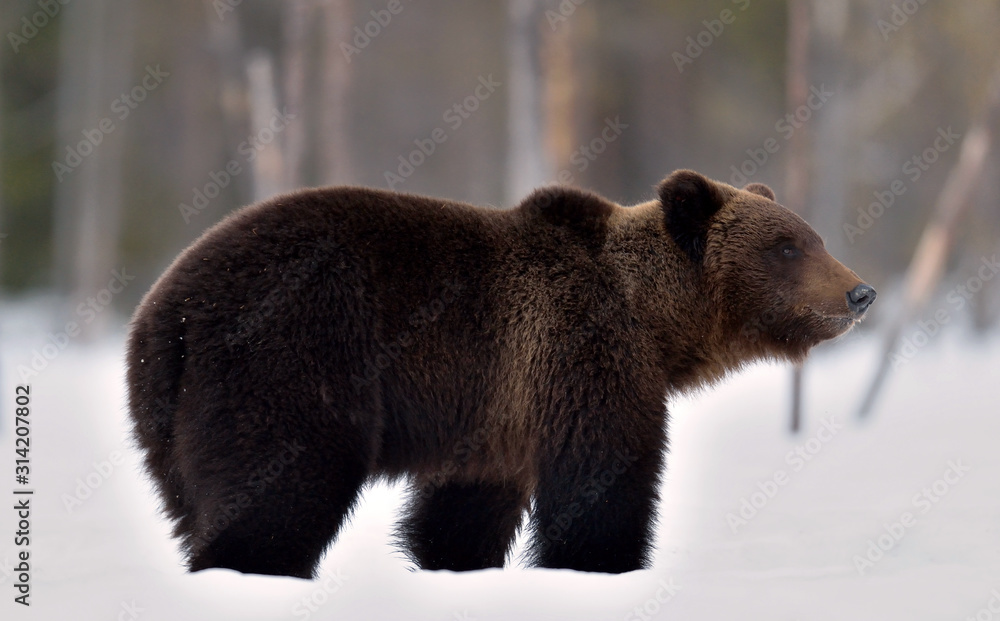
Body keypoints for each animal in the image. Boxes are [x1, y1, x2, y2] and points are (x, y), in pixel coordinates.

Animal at [126, 169, 875, 579]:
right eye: (787, 246)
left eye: (813, 237)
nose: (859, 291)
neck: (654, 321)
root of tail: (164, 315)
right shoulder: (580, 353)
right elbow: (603, 481)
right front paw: (604, 563)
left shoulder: (496, 411)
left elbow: (463, 511)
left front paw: (452, 562)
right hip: (287, 356)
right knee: (281, 489)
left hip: (173, 423)